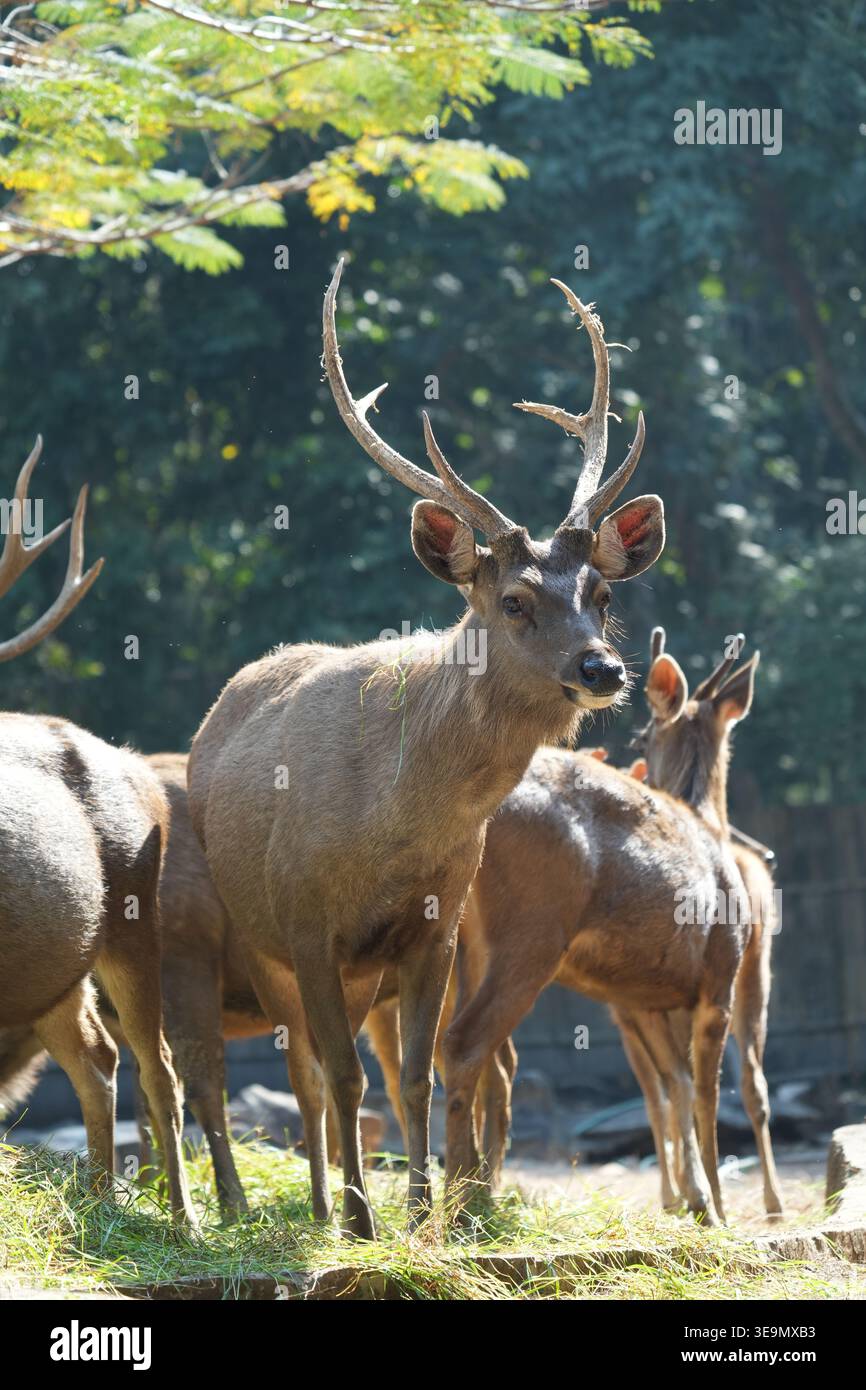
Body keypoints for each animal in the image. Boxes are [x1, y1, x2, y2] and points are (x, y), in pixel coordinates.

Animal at [186, 259, 664, 1237]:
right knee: (300, 1074)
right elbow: (341, 1076)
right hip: (256, 934)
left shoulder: (435, 927)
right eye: (513, 600)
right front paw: (363, 1225)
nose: (602, 669)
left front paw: (418, 1219)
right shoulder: (306, 922)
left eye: (599, 592)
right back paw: (313, 1206)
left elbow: (415, 1073)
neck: (393, 827)